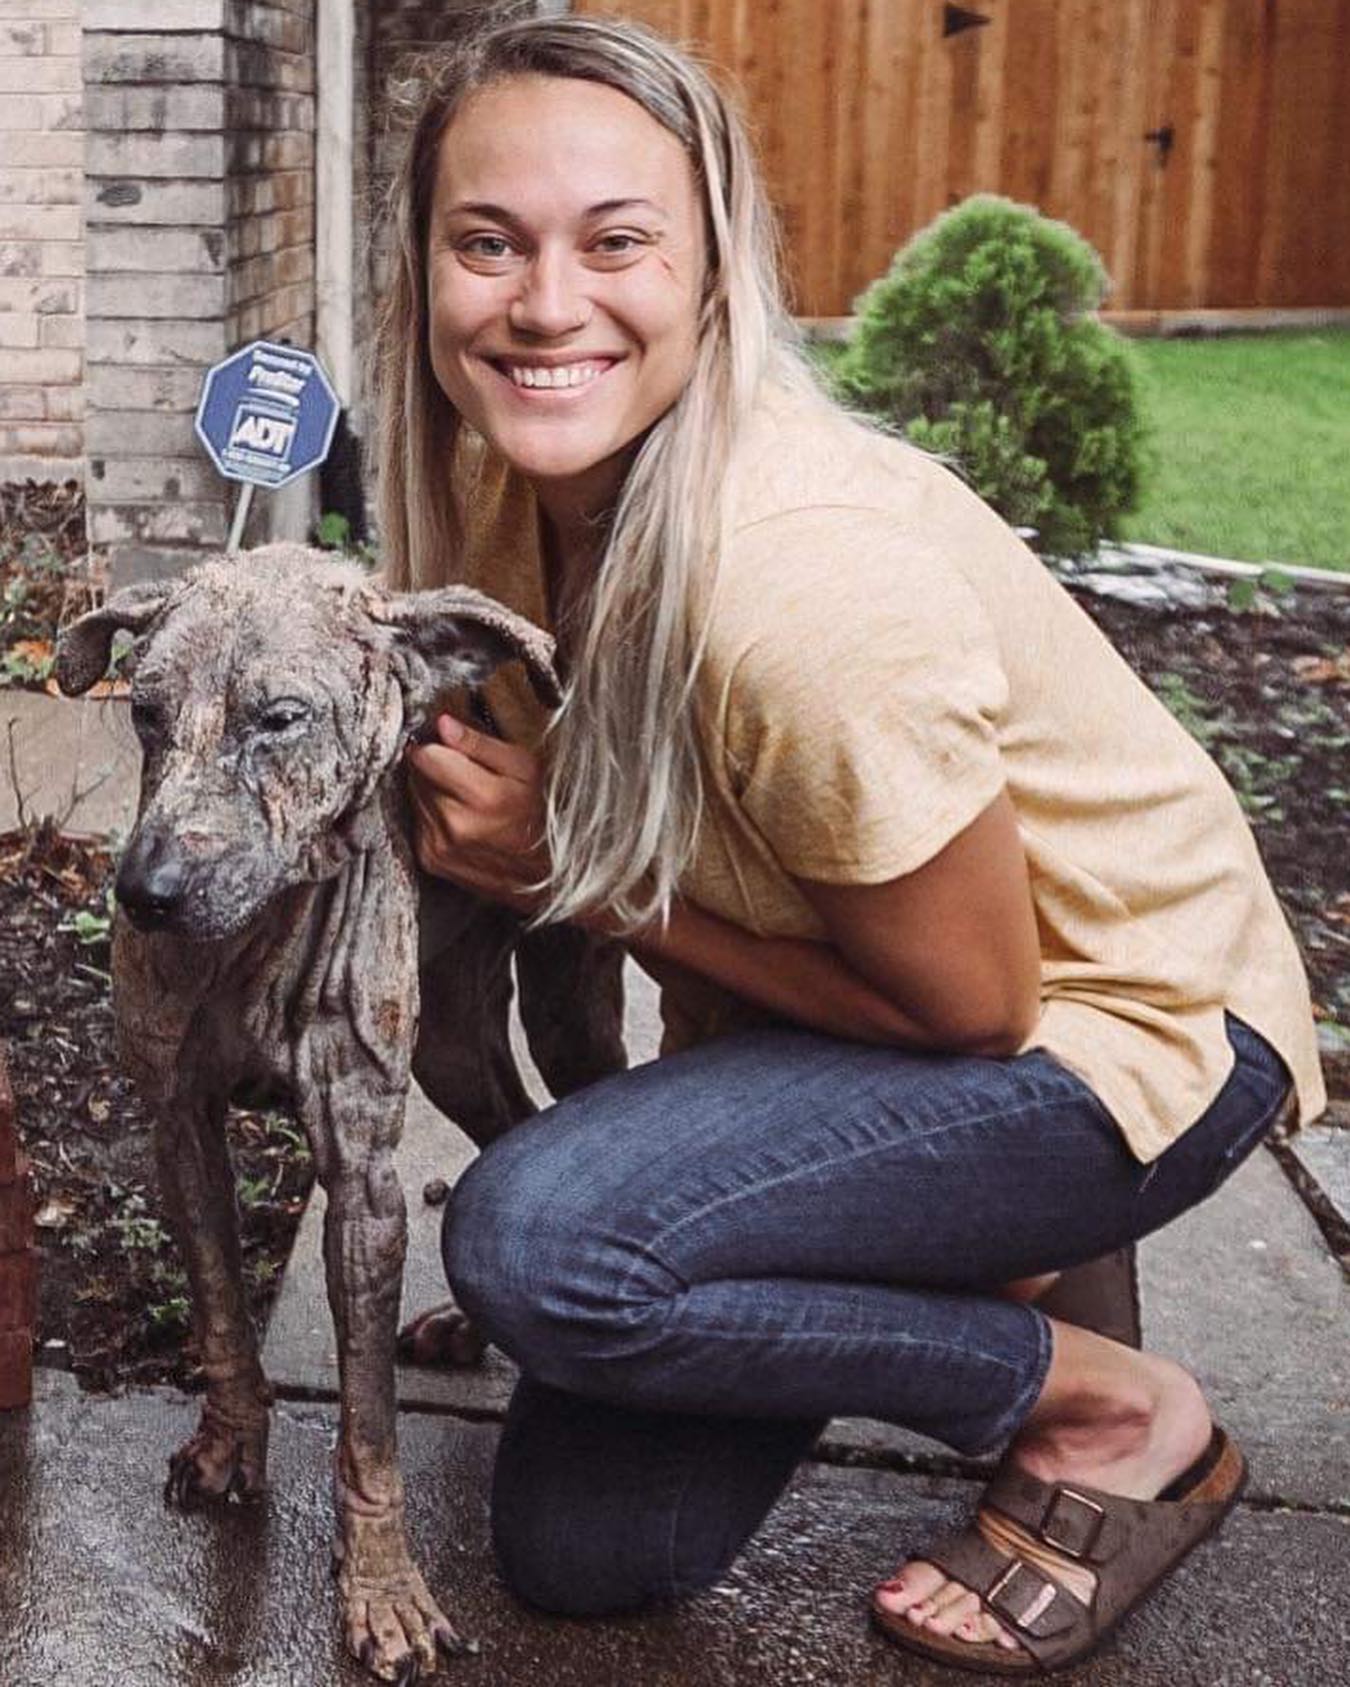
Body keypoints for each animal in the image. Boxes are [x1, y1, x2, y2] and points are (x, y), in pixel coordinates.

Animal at [51, 546, 621, 1680]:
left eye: (280, 718)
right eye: (144, 713)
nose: (145, 893)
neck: (260, 933)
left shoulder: (362, 1184)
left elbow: (368, 1420)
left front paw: (381, 1586)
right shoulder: (179, 1129)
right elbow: (221, 1307)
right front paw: (230, 1444)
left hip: (568, 1016)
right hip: (453, 1046)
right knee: (508, 1126)